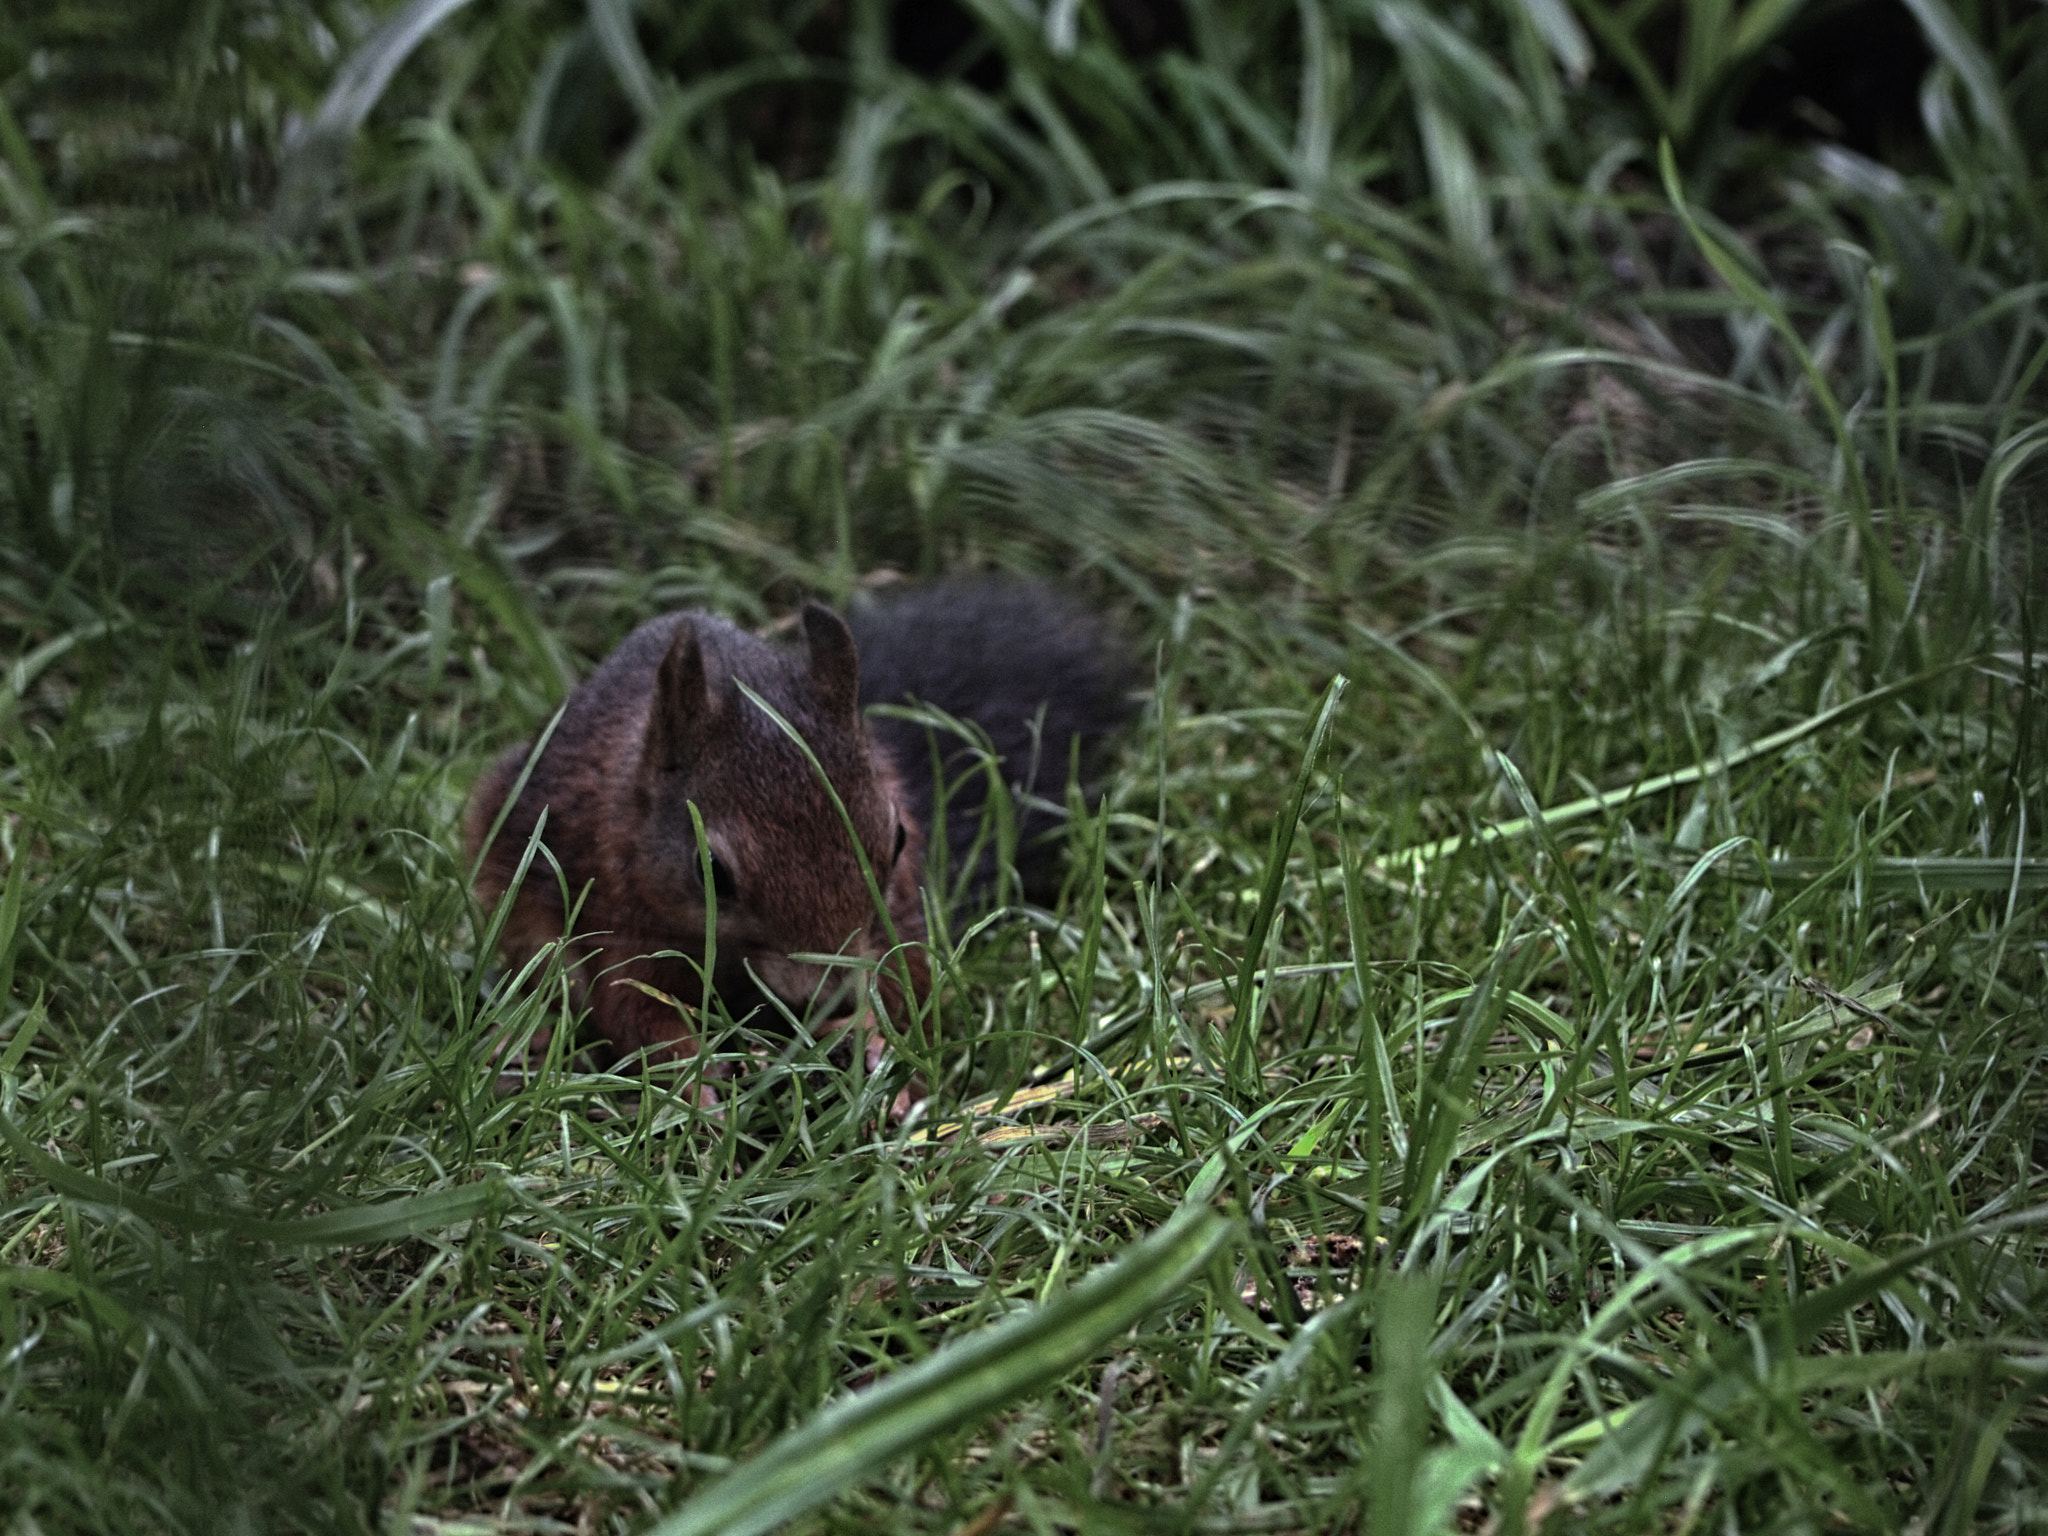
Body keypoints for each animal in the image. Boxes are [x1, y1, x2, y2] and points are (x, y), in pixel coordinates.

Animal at [464, 577, 1134, 1076]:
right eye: (712, 872)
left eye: (896, 841)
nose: (826, 992)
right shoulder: (613, 907)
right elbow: (633, 1006)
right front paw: (698, 1082)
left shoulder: (897, 914)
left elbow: (908, 981)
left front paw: (873, 1036)